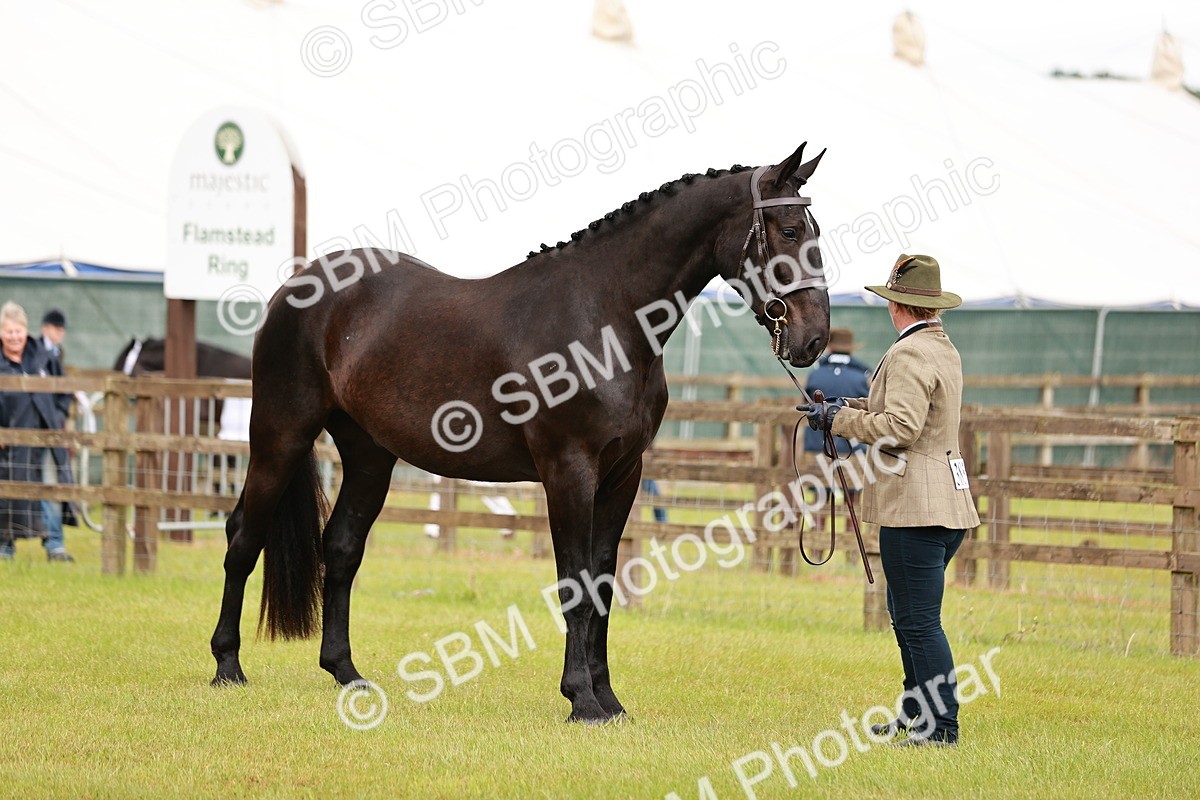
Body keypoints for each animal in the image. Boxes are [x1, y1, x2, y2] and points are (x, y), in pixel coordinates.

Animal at [210, 143, 832, 723]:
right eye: (790, 229)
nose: (814, 340)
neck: (606, 319)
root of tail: (300, 286)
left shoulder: (622, 477)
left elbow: (603, 587)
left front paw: (609, 700)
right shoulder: (568, 473)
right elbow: (575, 585)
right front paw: (581, 699)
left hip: (369, 456)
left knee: (340, 548)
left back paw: (346, 673)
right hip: (280, 435)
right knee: (243, 538)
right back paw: (227, 666)